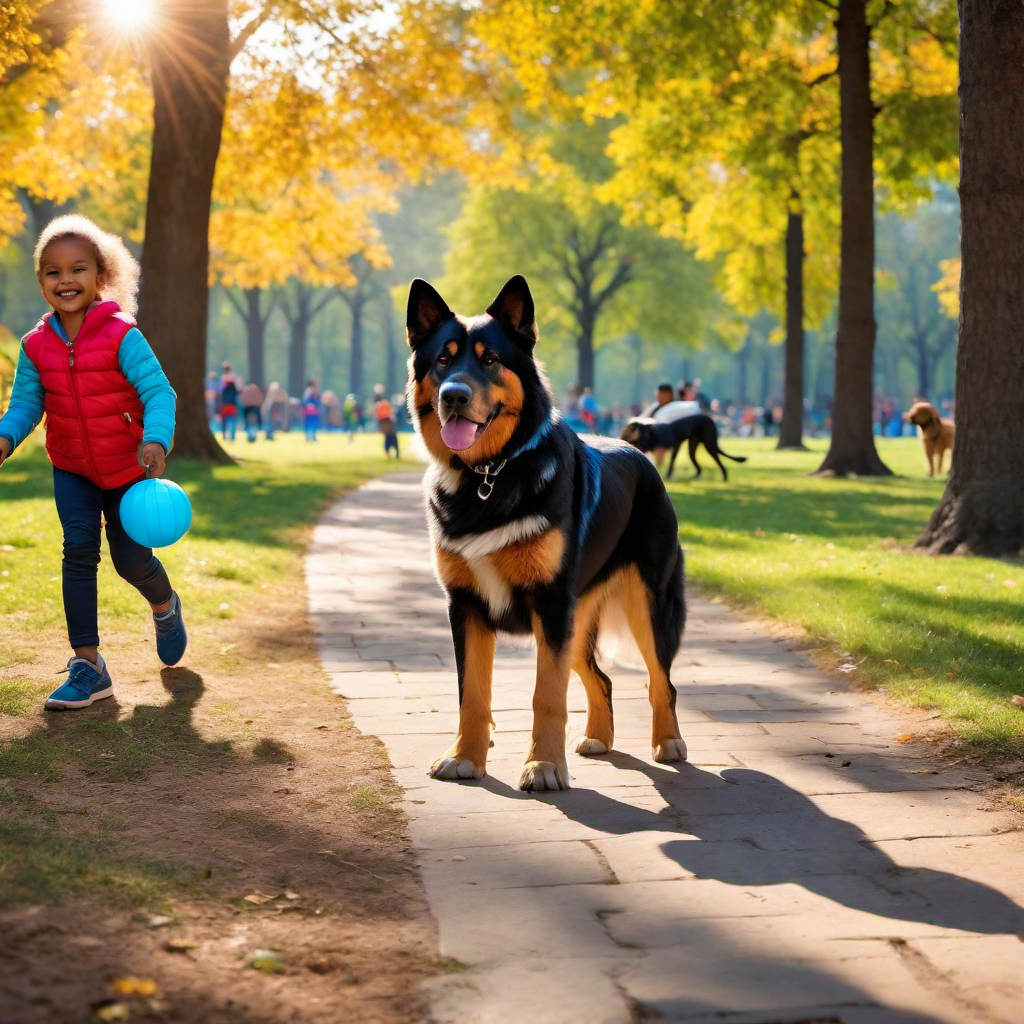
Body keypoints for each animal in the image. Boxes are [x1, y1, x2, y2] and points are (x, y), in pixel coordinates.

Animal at [405, 272, 688, 790]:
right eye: (443, 359)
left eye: (490, 360)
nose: (453, 395)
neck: (490, 476)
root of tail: (638, 453)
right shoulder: (466, 606)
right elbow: (471, 693)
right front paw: (465, 757)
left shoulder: (550, 605)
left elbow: (547, 697)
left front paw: (544, 766)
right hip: (578, 623)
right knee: (602, 679)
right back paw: (598, 737)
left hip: (646, 605)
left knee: (662, 679)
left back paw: (669, 741)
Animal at [618, 413, 749, 481]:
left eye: (643, 433)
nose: (642, 444)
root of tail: (708, 417)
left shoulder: (675, 445)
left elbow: (671, 461)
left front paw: (668, 476)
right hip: (692, 448)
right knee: (699, 468)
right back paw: (695, 478)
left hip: (709, 445)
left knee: (719, 462)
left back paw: (724, 477)